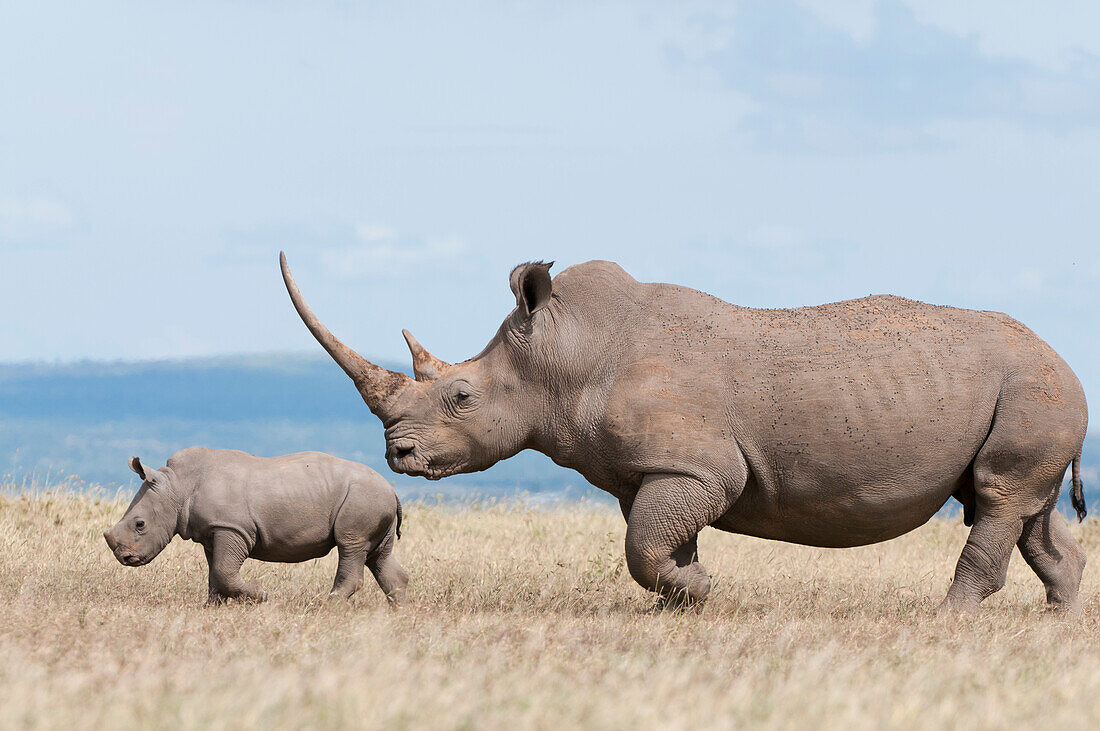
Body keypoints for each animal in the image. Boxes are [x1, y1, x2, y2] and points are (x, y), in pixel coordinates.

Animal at [103, 448, 409, 602]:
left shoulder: (232, 528)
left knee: (351, 546)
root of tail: (392, 490)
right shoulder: (213, 531)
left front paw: (260, 596)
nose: (124, 558)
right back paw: (400, 613)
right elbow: (216, 575)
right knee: (378, 556)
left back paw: (326, 606)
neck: (177, 486)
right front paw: (213, 608)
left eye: (140, 524)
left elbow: (224, 572)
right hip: (374, 498)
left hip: (363, 498)